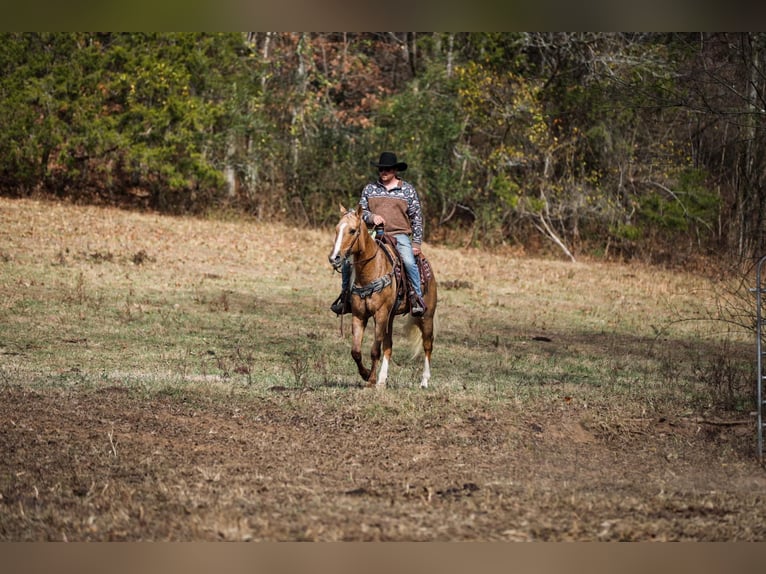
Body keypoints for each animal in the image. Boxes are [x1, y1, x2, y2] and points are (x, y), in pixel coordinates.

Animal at [328, 205, 438, 390]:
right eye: (336, 229)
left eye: (352, 230)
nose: (334, 258)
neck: (370, 272)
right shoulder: (359, 315)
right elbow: (356, 351)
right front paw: (366, 375)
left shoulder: (380, 315)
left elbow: (374, 350)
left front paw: (371, 379)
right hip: (390, 317)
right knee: (388, 346)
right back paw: (382, 380)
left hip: (426, 316)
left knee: (427, 345)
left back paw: (424, 382)